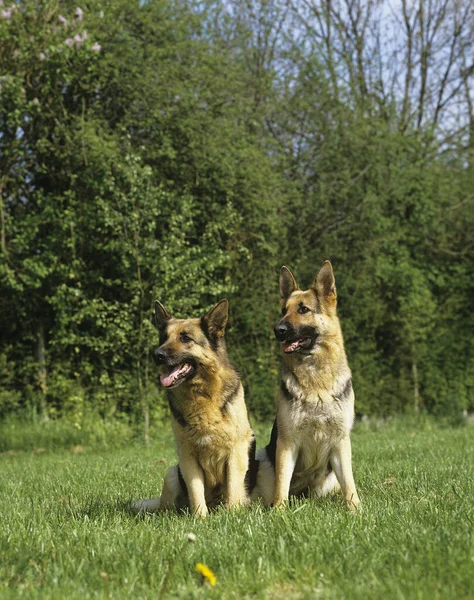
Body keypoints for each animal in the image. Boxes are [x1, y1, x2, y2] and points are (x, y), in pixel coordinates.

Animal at [135, 300, 258, 516]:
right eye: (163, 338)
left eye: (185, 338)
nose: (157, 355)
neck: (201, 394)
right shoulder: (188, 456)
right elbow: (195, 491)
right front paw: (200, 518)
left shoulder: (236, 453)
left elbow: (233, 488)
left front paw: (232, 515)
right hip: (172, 474)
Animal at [256, 260, 360, 508]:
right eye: (283, 311)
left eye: (303, 309)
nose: (278, 331)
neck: (316, 383)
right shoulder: (287, 443)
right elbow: (282, 485)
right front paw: (279, 511)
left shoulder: (341, 442)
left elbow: (350, 483)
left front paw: (356, 509)